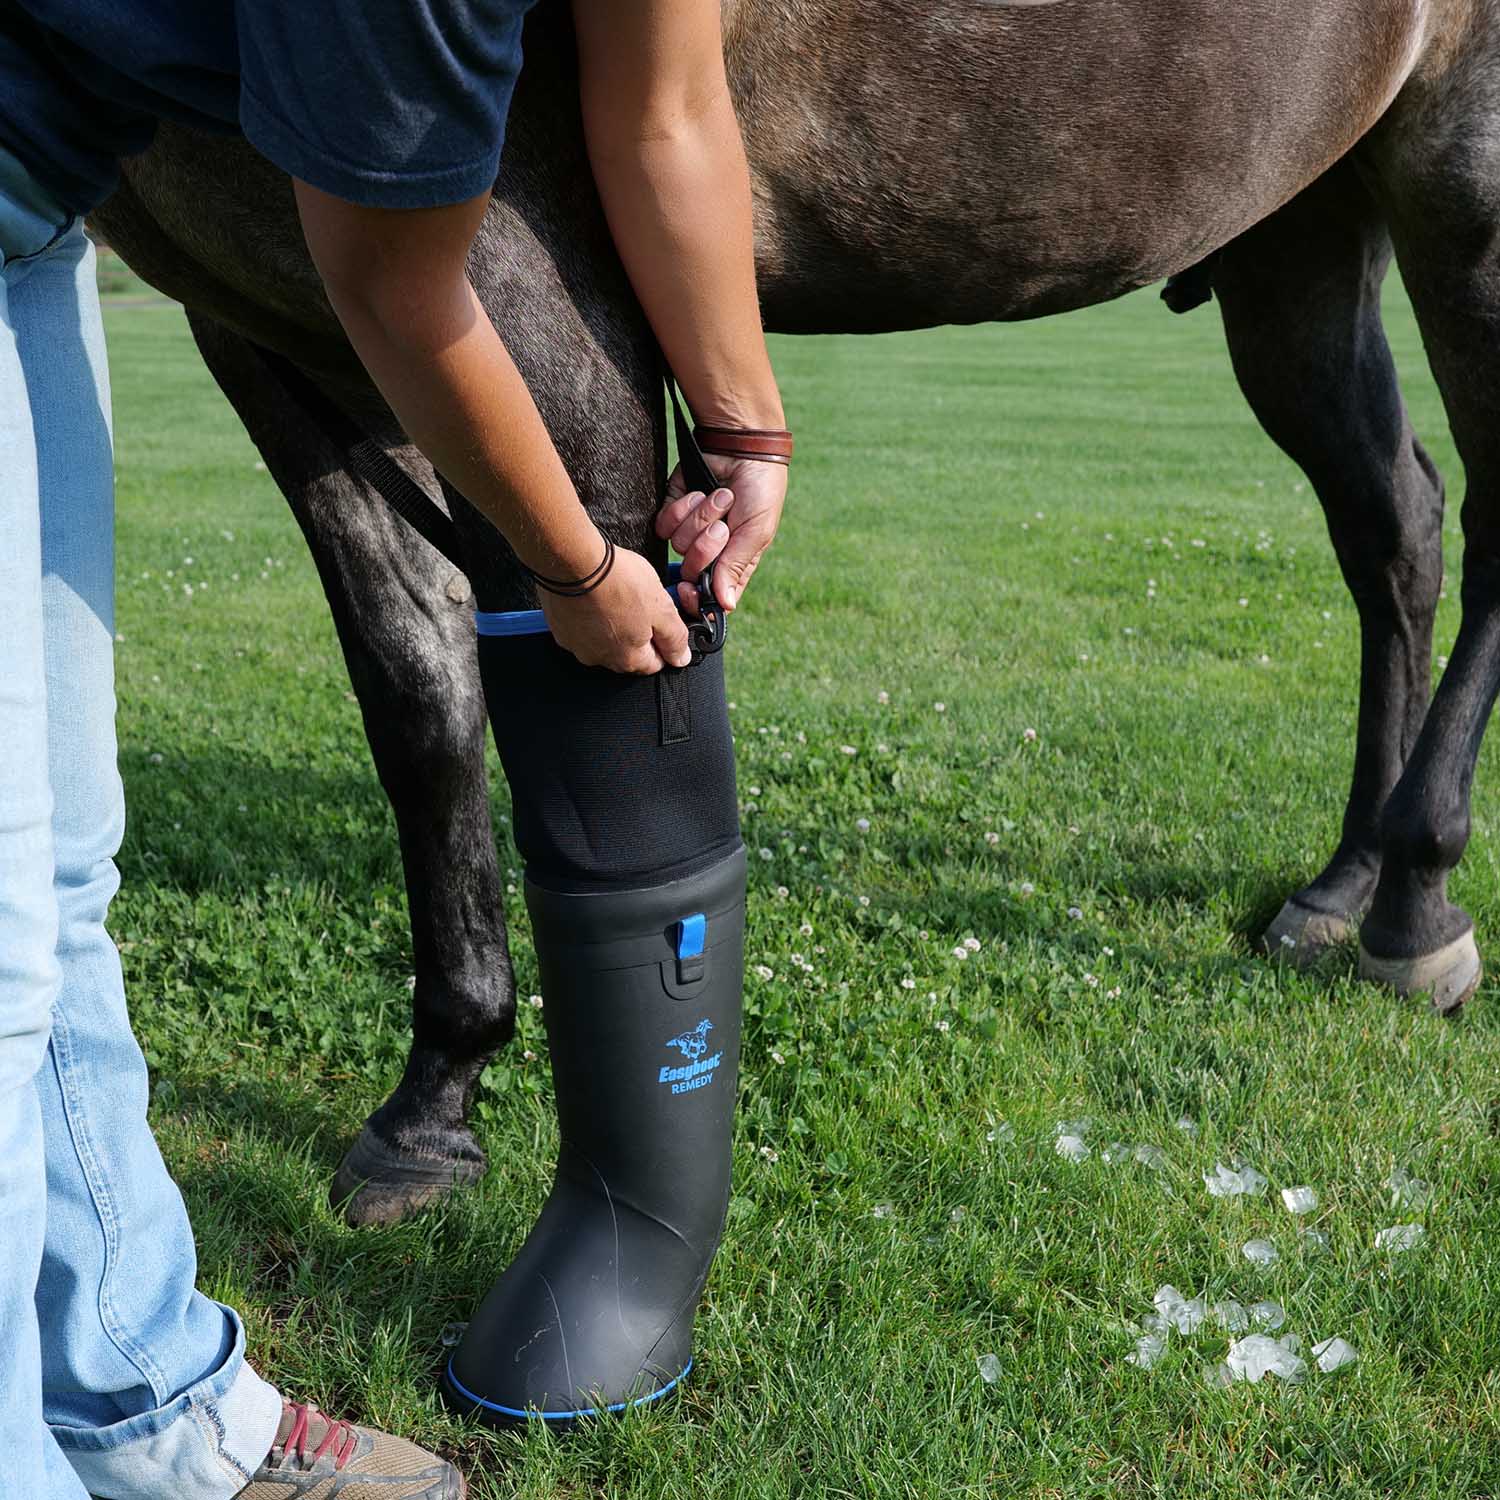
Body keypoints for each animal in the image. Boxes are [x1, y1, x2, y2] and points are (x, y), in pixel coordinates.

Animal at [91, 0, 1500, 1224]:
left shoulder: (518, 276)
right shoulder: (280, 317)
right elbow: (421, 700)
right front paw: (436, 1099)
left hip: (1460, 180)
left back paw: (1417, 898)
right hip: (1301, 228)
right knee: (1393, 527)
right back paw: (1344, 879)